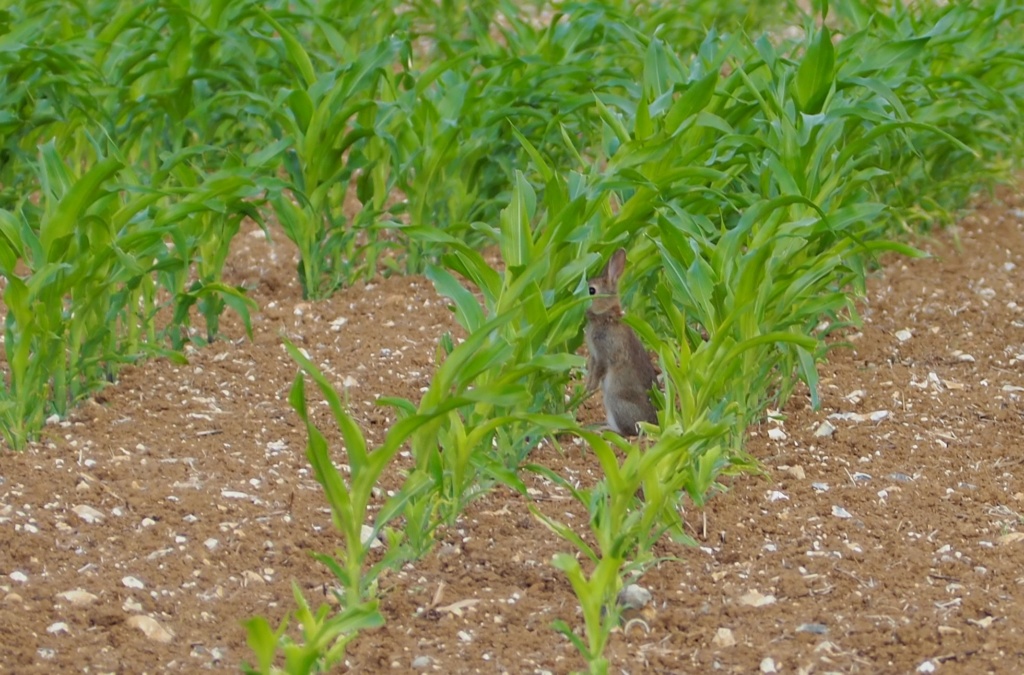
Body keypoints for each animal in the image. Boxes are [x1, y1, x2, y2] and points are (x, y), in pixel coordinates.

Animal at [581, 249, 659, 438]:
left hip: (615, 400)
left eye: (592, 290)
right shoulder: (594, 356)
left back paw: (604, 429)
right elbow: (592, 369)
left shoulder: (604, 354)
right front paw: (587, 387)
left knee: (625, 431)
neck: (605, 315)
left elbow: (599, 370)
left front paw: (589, 389)